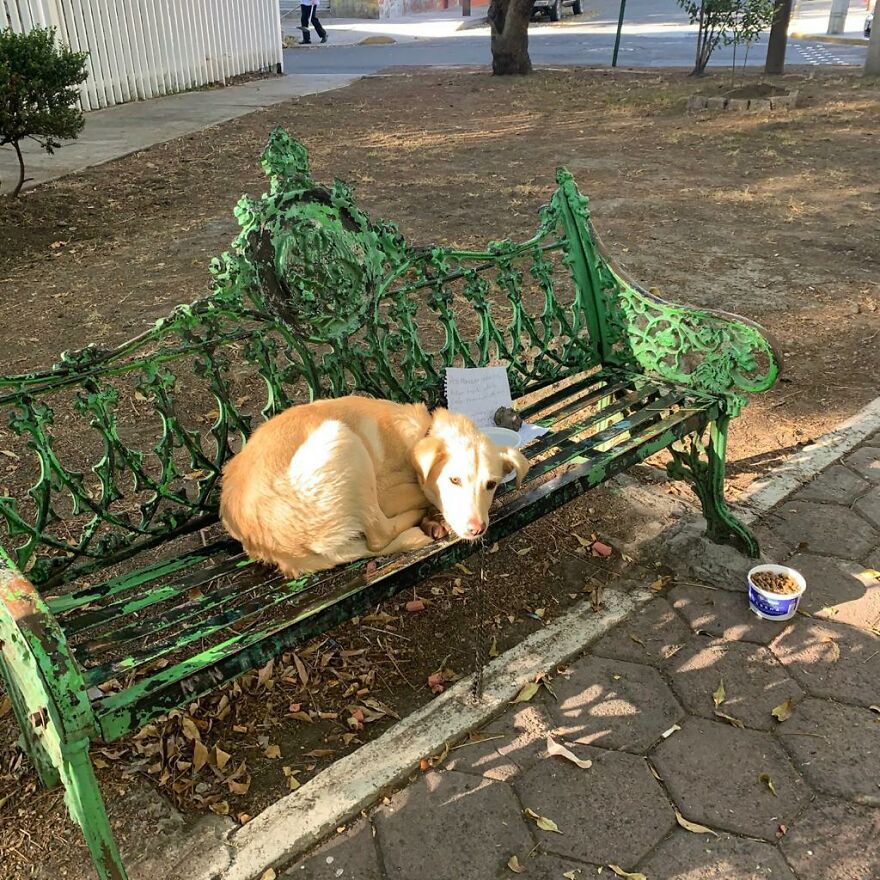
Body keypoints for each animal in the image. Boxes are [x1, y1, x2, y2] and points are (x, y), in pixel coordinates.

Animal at [218, 398, 528, 576]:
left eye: (491, 484)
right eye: (454, 480)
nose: (477, 529)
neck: (423, 432)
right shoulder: (390, 493)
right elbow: (423, 495)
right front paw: (432, 515)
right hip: (342, 439)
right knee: (380, 535)